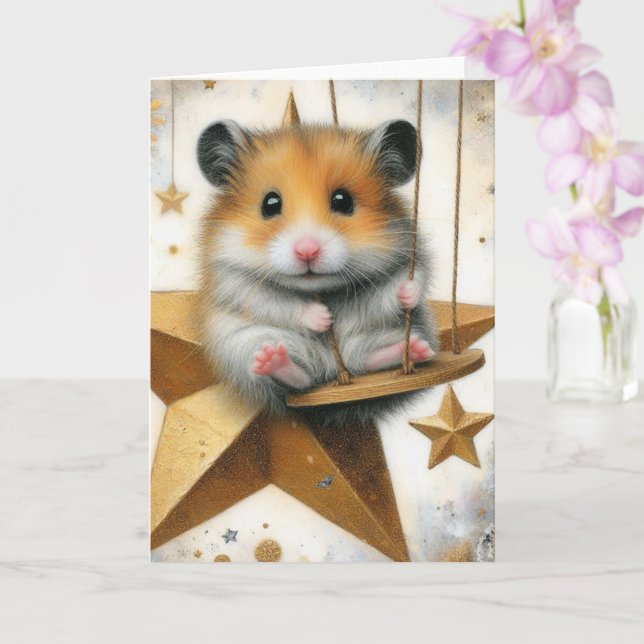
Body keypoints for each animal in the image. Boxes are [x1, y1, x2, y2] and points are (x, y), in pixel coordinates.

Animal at [196, 118, 436, 426]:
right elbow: (277, 303)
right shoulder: (231, 279)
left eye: (343, 201)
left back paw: (415, 351)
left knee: (368, 361)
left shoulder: (409, 254)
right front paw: (323, 318)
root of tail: (332, 370)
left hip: (395, 333)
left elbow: (400, 286)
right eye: (270, 204)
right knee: (297, 381)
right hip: (242, 348)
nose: (307, 251)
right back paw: (273, 360)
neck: (319, 289)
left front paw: (406, 293)